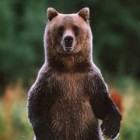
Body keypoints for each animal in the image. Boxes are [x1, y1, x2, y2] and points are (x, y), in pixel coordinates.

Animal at [27, 7, 121, 140]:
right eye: (61, 28)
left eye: (75, 27)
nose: (68, 39)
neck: (70, 67)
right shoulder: (49, 79)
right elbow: (37, 100)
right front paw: (44, 132)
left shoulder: (90, 79)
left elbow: (102, 103)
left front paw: (111, 128)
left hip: (90, 133)